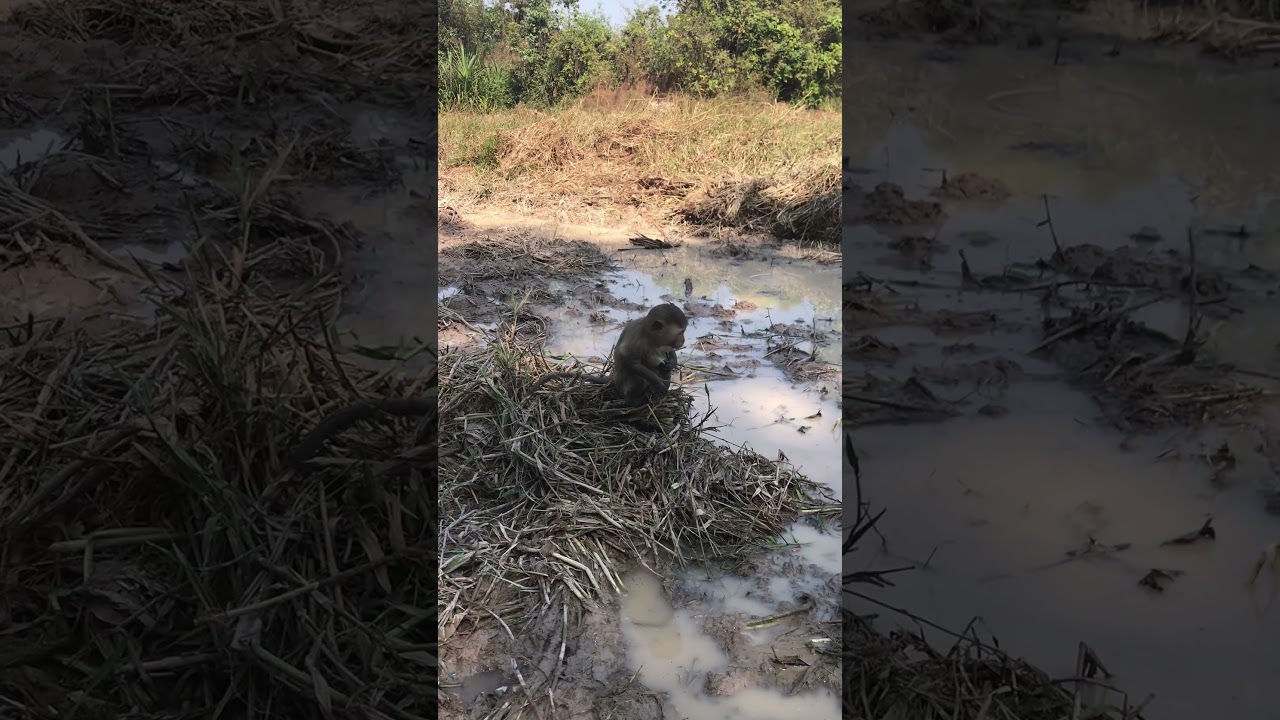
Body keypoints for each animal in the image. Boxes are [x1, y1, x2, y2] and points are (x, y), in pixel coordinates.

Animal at [531, 302, 687, 407]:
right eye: (681, 332)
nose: (683, 340)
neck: (652, 338)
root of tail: (613, 379)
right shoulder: (638, 339)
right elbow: (629, 361)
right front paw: (656, 381)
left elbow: (669, 353)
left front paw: (672, 362)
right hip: (622, 384)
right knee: (636, 376)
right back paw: (632, 401)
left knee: (663, 370)